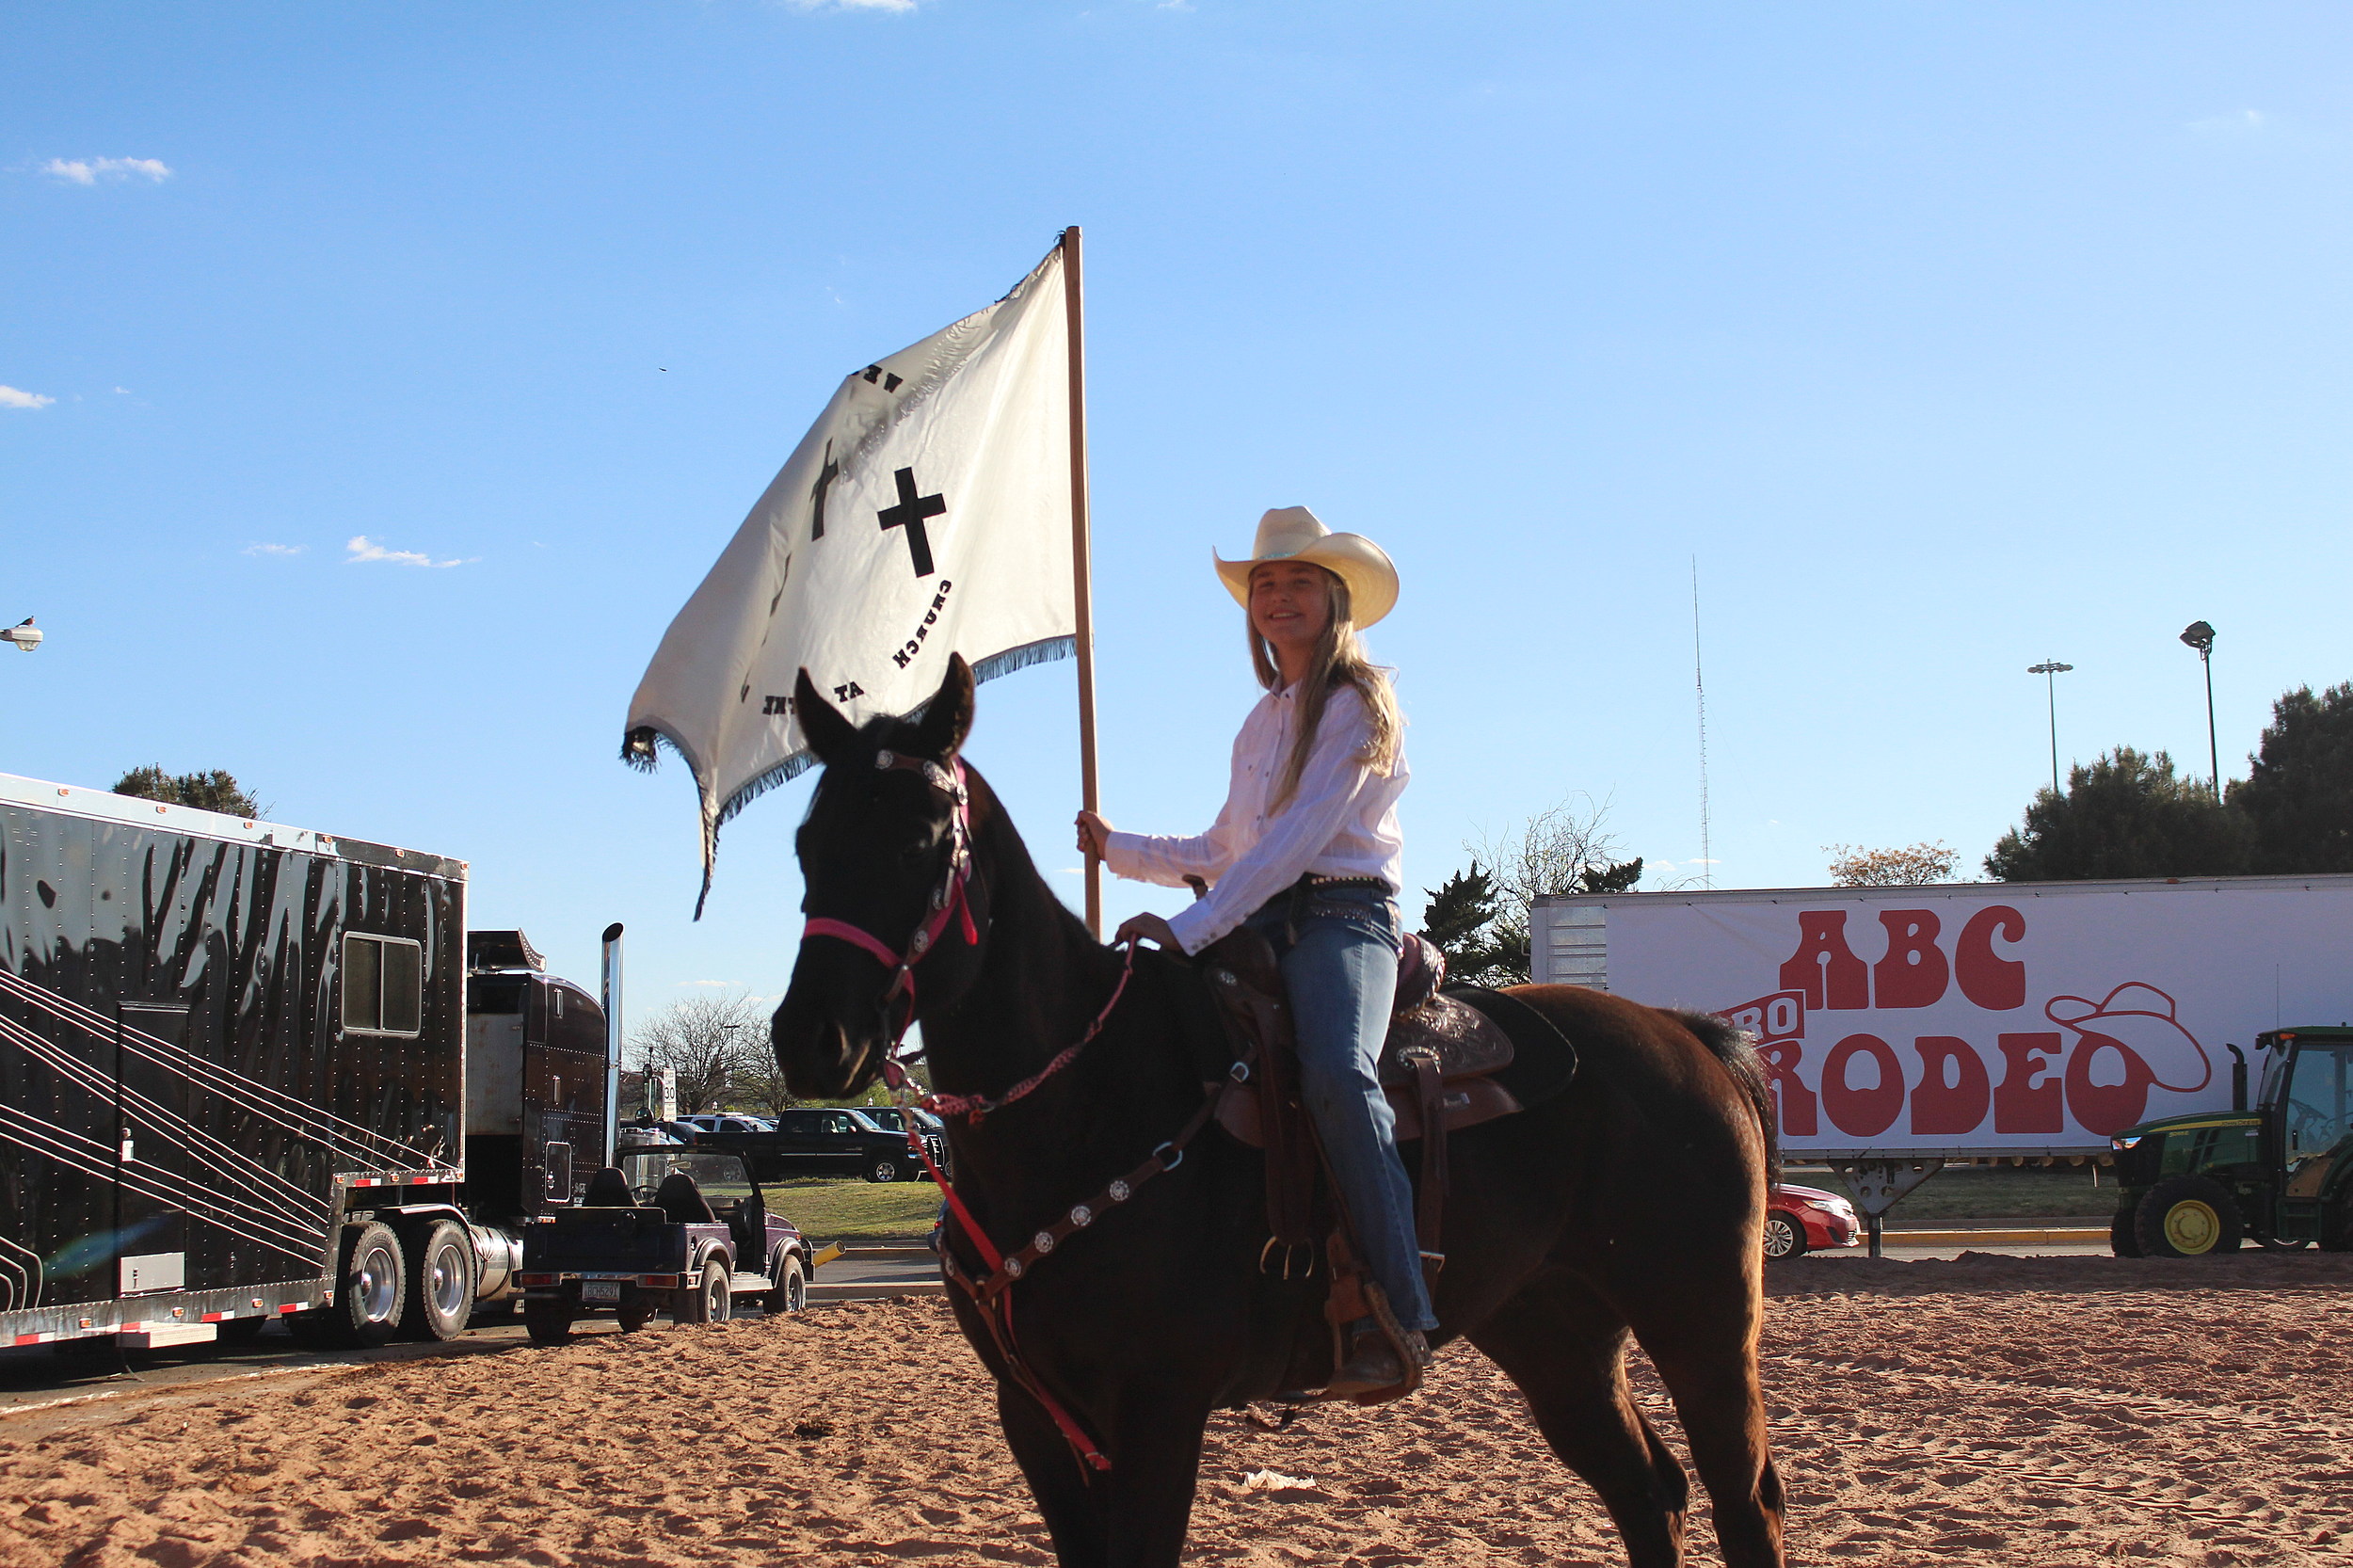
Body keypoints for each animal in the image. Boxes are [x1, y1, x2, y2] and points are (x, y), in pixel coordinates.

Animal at [772, 654, 1779, 1553]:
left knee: (1744, 1502)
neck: (1084, 1104)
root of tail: (1684, 1034)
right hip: (1553, 1330)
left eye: (923, 841)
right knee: (1647, 1494)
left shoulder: (1158, 1413)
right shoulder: (1036, 1419)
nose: (810, 1038)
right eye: (807, 846)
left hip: (1702, 1322)